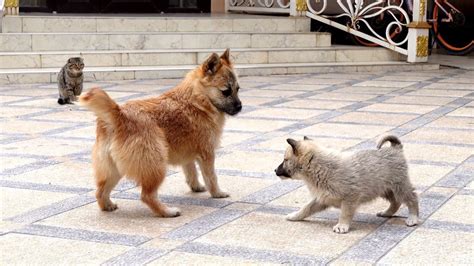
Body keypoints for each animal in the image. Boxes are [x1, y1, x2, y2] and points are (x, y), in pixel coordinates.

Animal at [80, 49, 241, 216]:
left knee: (100, 191)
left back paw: (107, 205)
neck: (198, 99)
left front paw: (196, 187)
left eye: (238, 89)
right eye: (226, 91)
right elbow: (211, 177)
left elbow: (191, 172)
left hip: (113, 169)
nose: (240, 107)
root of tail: (119, 115)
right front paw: (217, 193)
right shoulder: (207, 154)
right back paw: (167, 211)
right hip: (156, 165)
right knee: (147, 195)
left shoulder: (188, 154)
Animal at [274, 135, 418, 233]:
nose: (275, 170)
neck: (320, 167)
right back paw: (387, 212)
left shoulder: (350, 197)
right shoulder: (322, 198)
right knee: (396, 202)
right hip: (384, 189)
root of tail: (395, 149)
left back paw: (413, 217)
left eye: (285, 160)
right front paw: (295, 216)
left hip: (399, 187)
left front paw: (342, 225)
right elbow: (306, 208)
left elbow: (345, 213)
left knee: (412, 199)